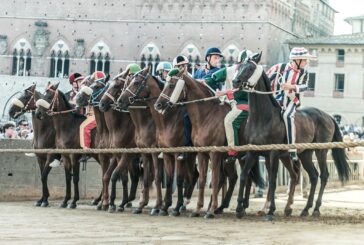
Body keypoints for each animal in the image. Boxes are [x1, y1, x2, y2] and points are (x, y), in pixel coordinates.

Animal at [77, 73, 142, 212]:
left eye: (96, 86)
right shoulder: (104, 155)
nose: (77, 98)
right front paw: (104, 202)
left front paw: (109, 202)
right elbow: (105, 176)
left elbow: (112, 176)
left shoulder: (120, 154)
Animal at [114, 66, 199, 215]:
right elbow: (149, 178)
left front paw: (159, 205)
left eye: (136, 82)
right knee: (193, 175)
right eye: (125, 85)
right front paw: (144, 205)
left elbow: (161, 178)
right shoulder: (147, 152)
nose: (119, 101)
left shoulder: (161, 153)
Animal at [232, 52, 352, 220]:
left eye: (250, 68)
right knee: (313, 176)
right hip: (305, 154)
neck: (262, 118)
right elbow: (244, 175)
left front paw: (270, 211)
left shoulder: (273, 153)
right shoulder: (252, 151)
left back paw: (315, 208)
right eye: (240, 66)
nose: (235, 81)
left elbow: (273, 181)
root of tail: (328, 116)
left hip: (320, 151)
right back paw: (305, 209)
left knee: (323, 176)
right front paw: (239, 208)